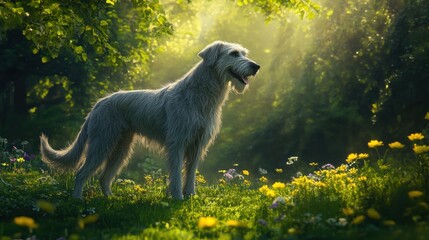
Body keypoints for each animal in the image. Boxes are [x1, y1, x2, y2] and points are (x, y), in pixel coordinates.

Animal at [40, 40, 260, 199]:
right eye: (233, 54)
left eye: (244, 53)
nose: (256, 66)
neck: (202, 95)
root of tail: (98, 104)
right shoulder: (177, 143)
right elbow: (176, 174)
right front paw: (178, 198)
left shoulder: (198, 144)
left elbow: (190, 173)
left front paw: (190, 197)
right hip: (101, 143)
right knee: (81, 173)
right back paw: (78, 200)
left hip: (121, 148)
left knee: (104, 177)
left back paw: (110, 198)